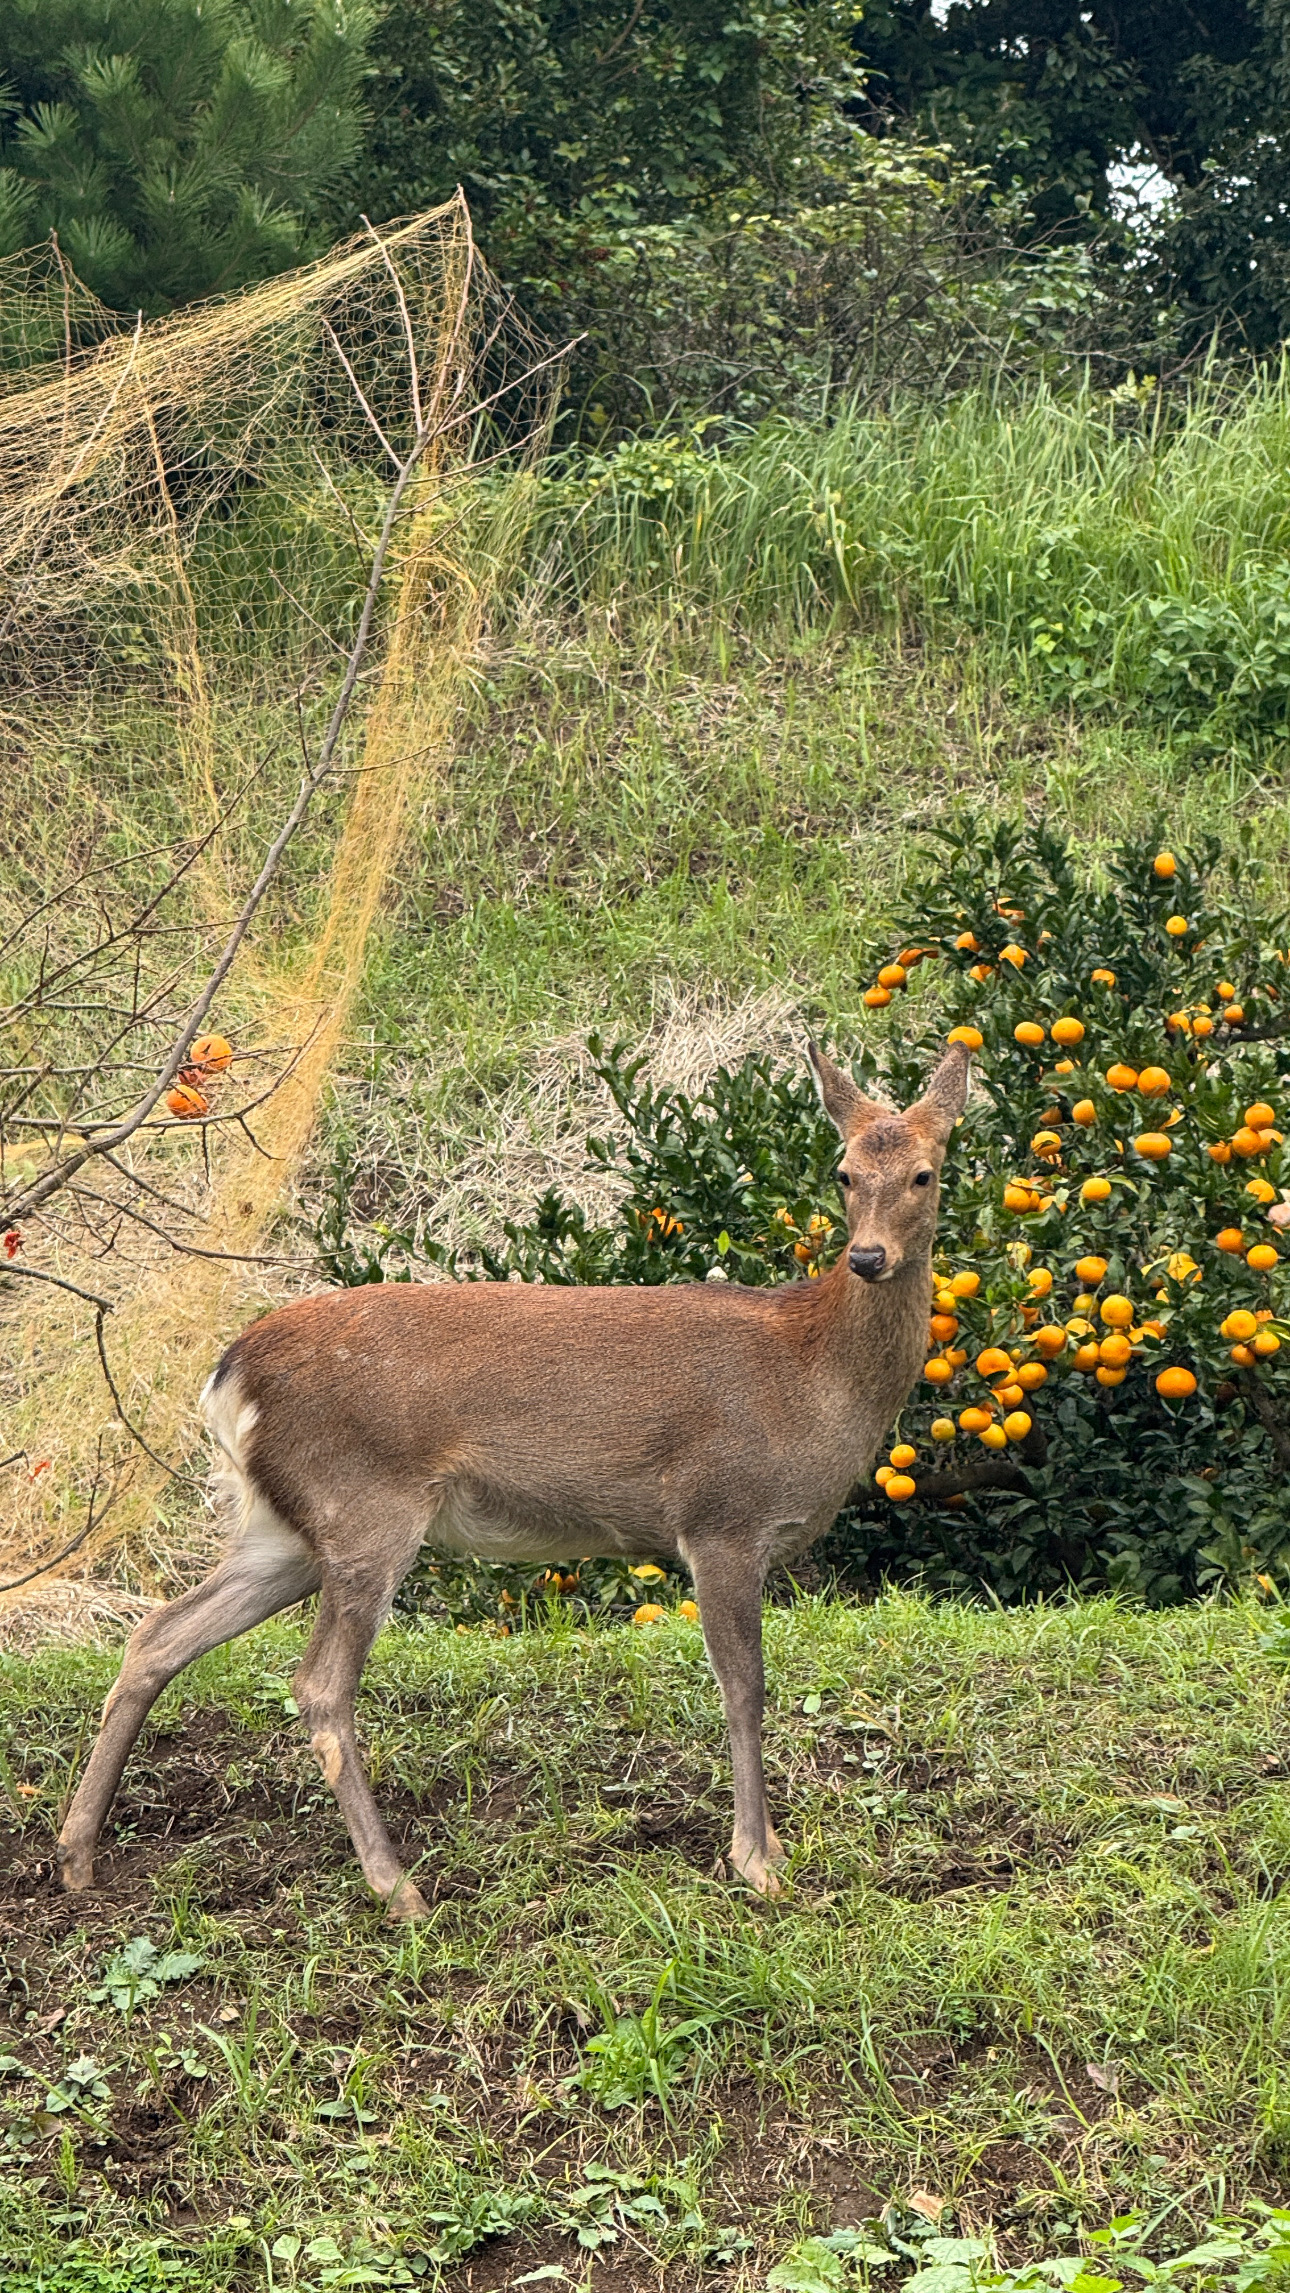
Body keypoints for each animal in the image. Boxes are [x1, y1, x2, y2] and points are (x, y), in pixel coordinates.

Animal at [56, 1038, 970, 1912]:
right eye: (844, 1171)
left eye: (924, 1172)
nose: (868, 1255)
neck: (814, 1377)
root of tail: (228, 1374)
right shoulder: (721, 1516)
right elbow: (744, 1687)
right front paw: (757, 1861)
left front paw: (769, 1848)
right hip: (364, 1503)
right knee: (317, 1685)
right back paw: (398, 1886)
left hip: (285, 1525)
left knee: (158, 1633)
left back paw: (76, 1855)